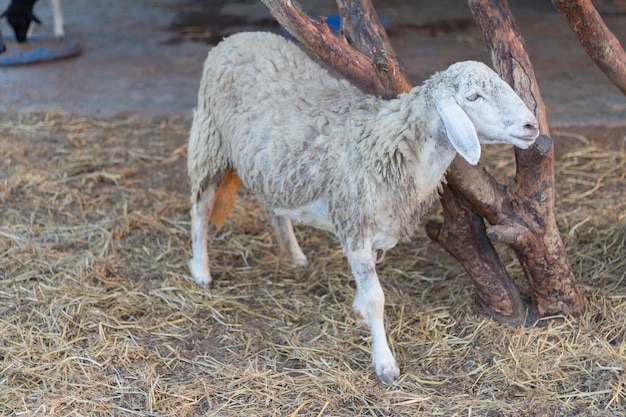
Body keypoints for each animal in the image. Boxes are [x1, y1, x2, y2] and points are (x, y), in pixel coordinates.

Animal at [185, 30, 536, 382]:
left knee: (273, 208)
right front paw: (384, 362)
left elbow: (368, 283)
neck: (389, 145)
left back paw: (295, 255)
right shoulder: (355, 223)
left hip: (271, 166)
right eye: (474, 96)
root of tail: (238, 36)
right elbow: (376, 296)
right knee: (201, 209)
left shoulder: (375, 227)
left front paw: (359, 311)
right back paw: (201, 270)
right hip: (209, 141)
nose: (532, 126)